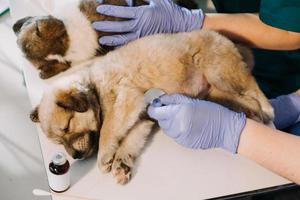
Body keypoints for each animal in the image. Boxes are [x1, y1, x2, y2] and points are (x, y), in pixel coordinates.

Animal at [29, 29, 274, 184]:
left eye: (67, 127)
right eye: (59, 141)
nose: (77, 157)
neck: (95, 85)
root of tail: (228, 41)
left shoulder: (125, 100)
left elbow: (109, 129)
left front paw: (104, 156)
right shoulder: (141, 117)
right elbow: (129, 141)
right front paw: (121, 164)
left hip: (218, 70)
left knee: (252, 88)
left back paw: (265, 110)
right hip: (214, 92)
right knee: (242, 99)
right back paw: (245, 115)